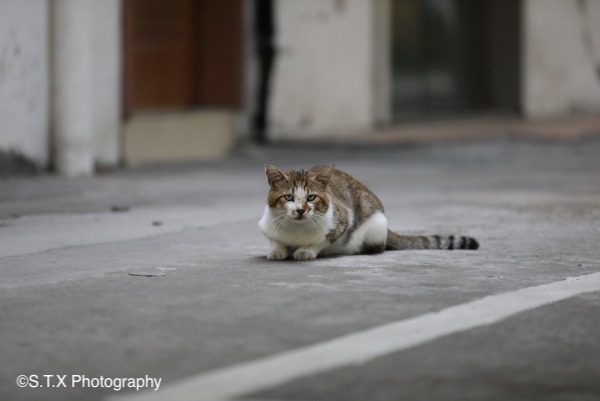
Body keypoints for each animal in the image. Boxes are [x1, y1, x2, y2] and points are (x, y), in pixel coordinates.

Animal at [258, 164, 478, 260]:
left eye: (311, 197)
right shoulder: (266, 224)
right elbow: (275, 240)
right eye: (288, 197)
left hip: (375, 225)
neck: (297, 231)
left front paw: (307, 250)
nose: (301, 210)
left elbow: (321, 240)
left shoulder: (343, 220)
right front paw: (277, 250)